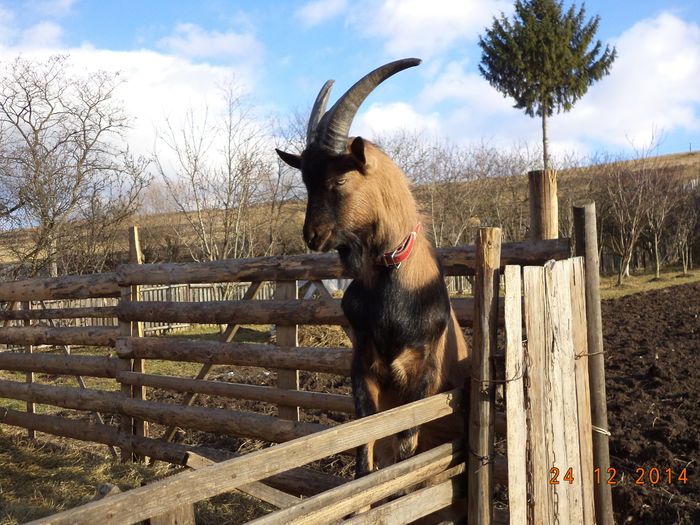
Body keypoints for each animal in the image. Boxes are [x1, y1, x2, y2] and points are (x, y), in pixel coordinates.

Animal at [274, 59, 470, 482]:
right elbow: (365, 445)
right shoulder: (362, 364)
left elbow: (407, 448)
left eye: (340, 177)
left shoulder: (423, 372)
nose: (313, 236)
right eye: (306, 181)